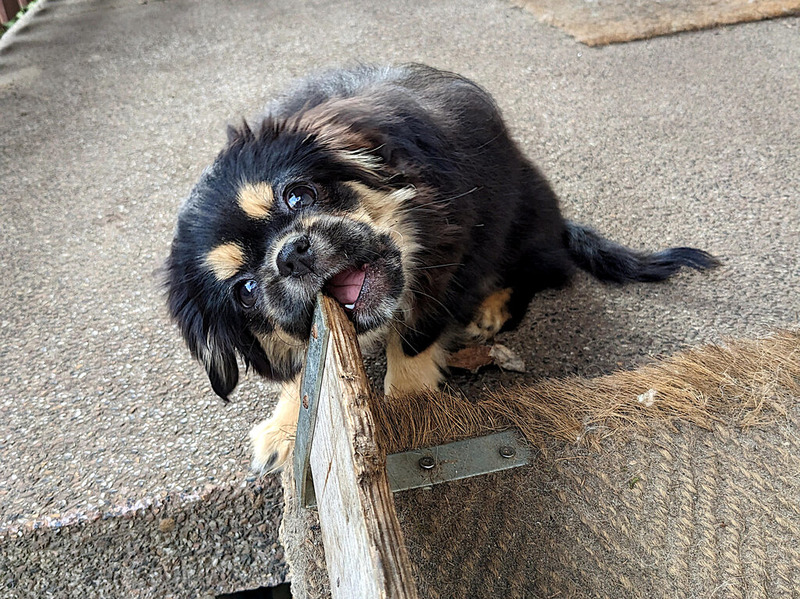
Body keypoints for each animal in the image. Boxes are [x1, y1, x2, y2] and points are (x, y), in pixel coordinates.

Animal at [164, 64, 718, 473]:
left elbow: (412, 340)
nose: (291, 252)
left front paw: (406, 412)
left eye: (299, 195)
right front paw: (285, 427)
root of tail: (561, 224)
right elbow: (306, 368)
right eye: (245, 290)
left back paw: (491, 309)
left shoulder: (451, 263)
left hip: (524, 227)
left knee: (538, 275)